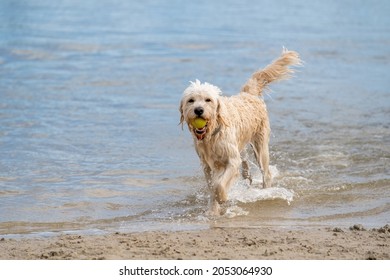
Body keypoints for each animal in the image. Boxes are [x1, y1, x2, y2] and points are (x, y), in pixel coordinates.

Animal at [178, 48, 300, 214]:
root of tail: (248, 93)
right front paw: (213, 210)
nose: (198, 110)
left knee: (266, 173)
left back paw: (265, 191)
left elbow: (219, 185)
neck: (212, 134)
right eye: (191, 100)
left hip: (260, 146)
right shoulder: (206, 165)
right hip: (242, 146)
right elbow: (212, 185)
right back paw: (247, 176)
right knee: (245, 165)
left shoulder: (231, 160)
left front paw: (222, 198)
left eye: (208, 100)